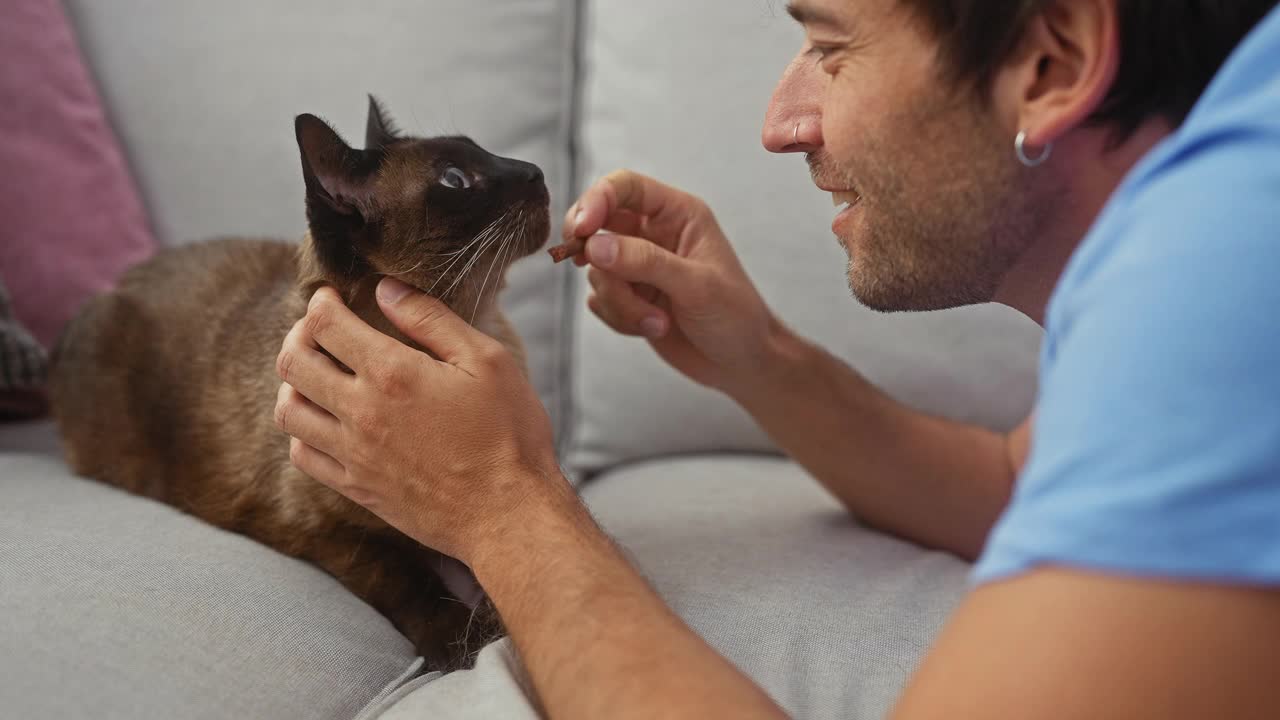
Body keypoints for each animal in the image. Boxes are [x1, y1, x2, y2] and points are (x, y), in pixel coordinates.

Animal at [48, 96, 550, 666]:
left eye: (482, 153)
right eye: (455, 180)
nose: (536, 172)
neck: (475, 325)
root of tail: (113, 287)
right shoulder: (325, 532)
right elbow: (412, 581)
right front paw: (464, 644)